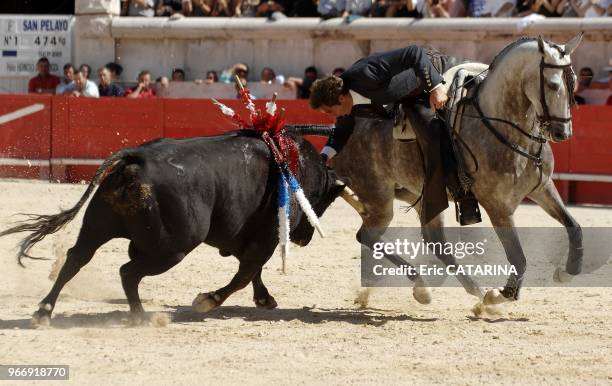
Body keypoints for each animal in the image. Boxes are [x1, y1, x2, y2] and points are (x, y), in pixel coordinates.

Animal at [1, 131, 344, 324]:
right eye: (323, 203)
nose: (305, 237)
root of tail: (136, 158)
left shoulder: (240, 237)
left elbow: (251, 271)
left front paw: (265, 299)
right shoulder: (264, 237)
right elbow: (244, 274)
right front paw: (207, 300)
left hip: (98, 226)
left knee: (76, 259)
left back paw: (44, 311)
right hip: (173, 248)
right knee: (128, 271)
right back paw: (141, 316)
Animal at [334, 34, 584, 310]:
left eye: (574, 83)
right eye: (552, 84)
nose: (563, 132)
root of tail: (345, 126)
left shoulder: (543, 187)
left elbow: (574, 227)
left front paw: (567, 271)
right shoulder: (497, 206)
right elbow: (518, 257)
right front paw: (498, 297)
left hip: (423, 195)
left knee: (435, 242)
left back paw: (453, 288)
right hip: (379, 198)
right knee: (367, 235)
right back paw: (427, 286)